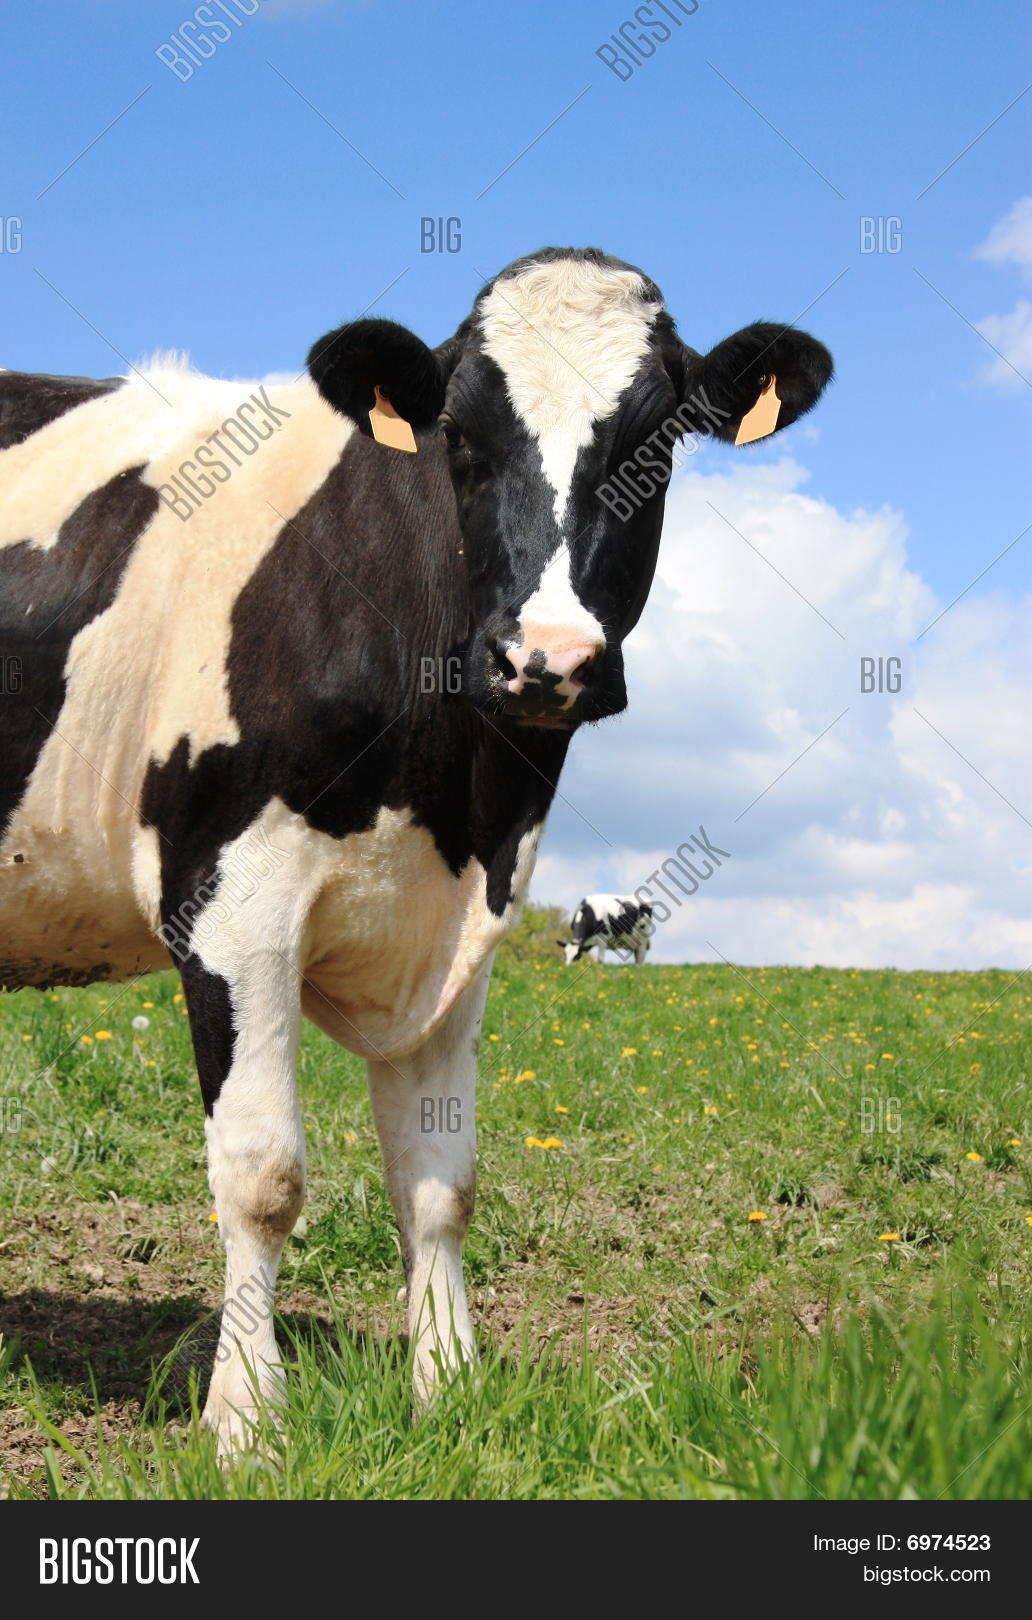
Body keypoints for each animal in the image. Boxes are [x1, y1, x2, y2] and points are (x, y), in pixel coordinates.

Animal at [0, 247, 832, 1450]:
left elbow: (441, 1181)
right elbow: (263, 1177)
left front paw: (449, 1388)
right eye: (463, 439)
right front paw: (247, 1422)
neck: (459, 791)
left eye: (658, 441)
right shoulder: (228, 903)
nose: (546, 659)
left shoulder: (457, 929)